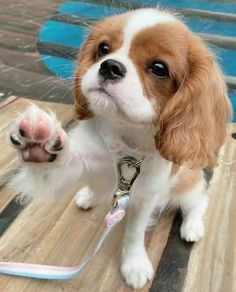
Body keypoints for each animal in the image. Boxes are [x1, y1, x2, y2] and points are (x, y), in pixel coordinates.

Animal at [7, 8, 232, 288]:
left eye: (159, 68)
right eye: (103, 48)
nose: (110, 66)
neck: (124, 138)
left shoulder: (145, 194)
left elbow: (135, 232)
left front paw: (134, 264)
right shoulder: (78, 163)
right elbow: (57, 164)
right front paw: (39, 142)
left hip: (188, 184)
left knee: (198, 201)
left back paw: (192, 227)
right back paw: (89, 195)